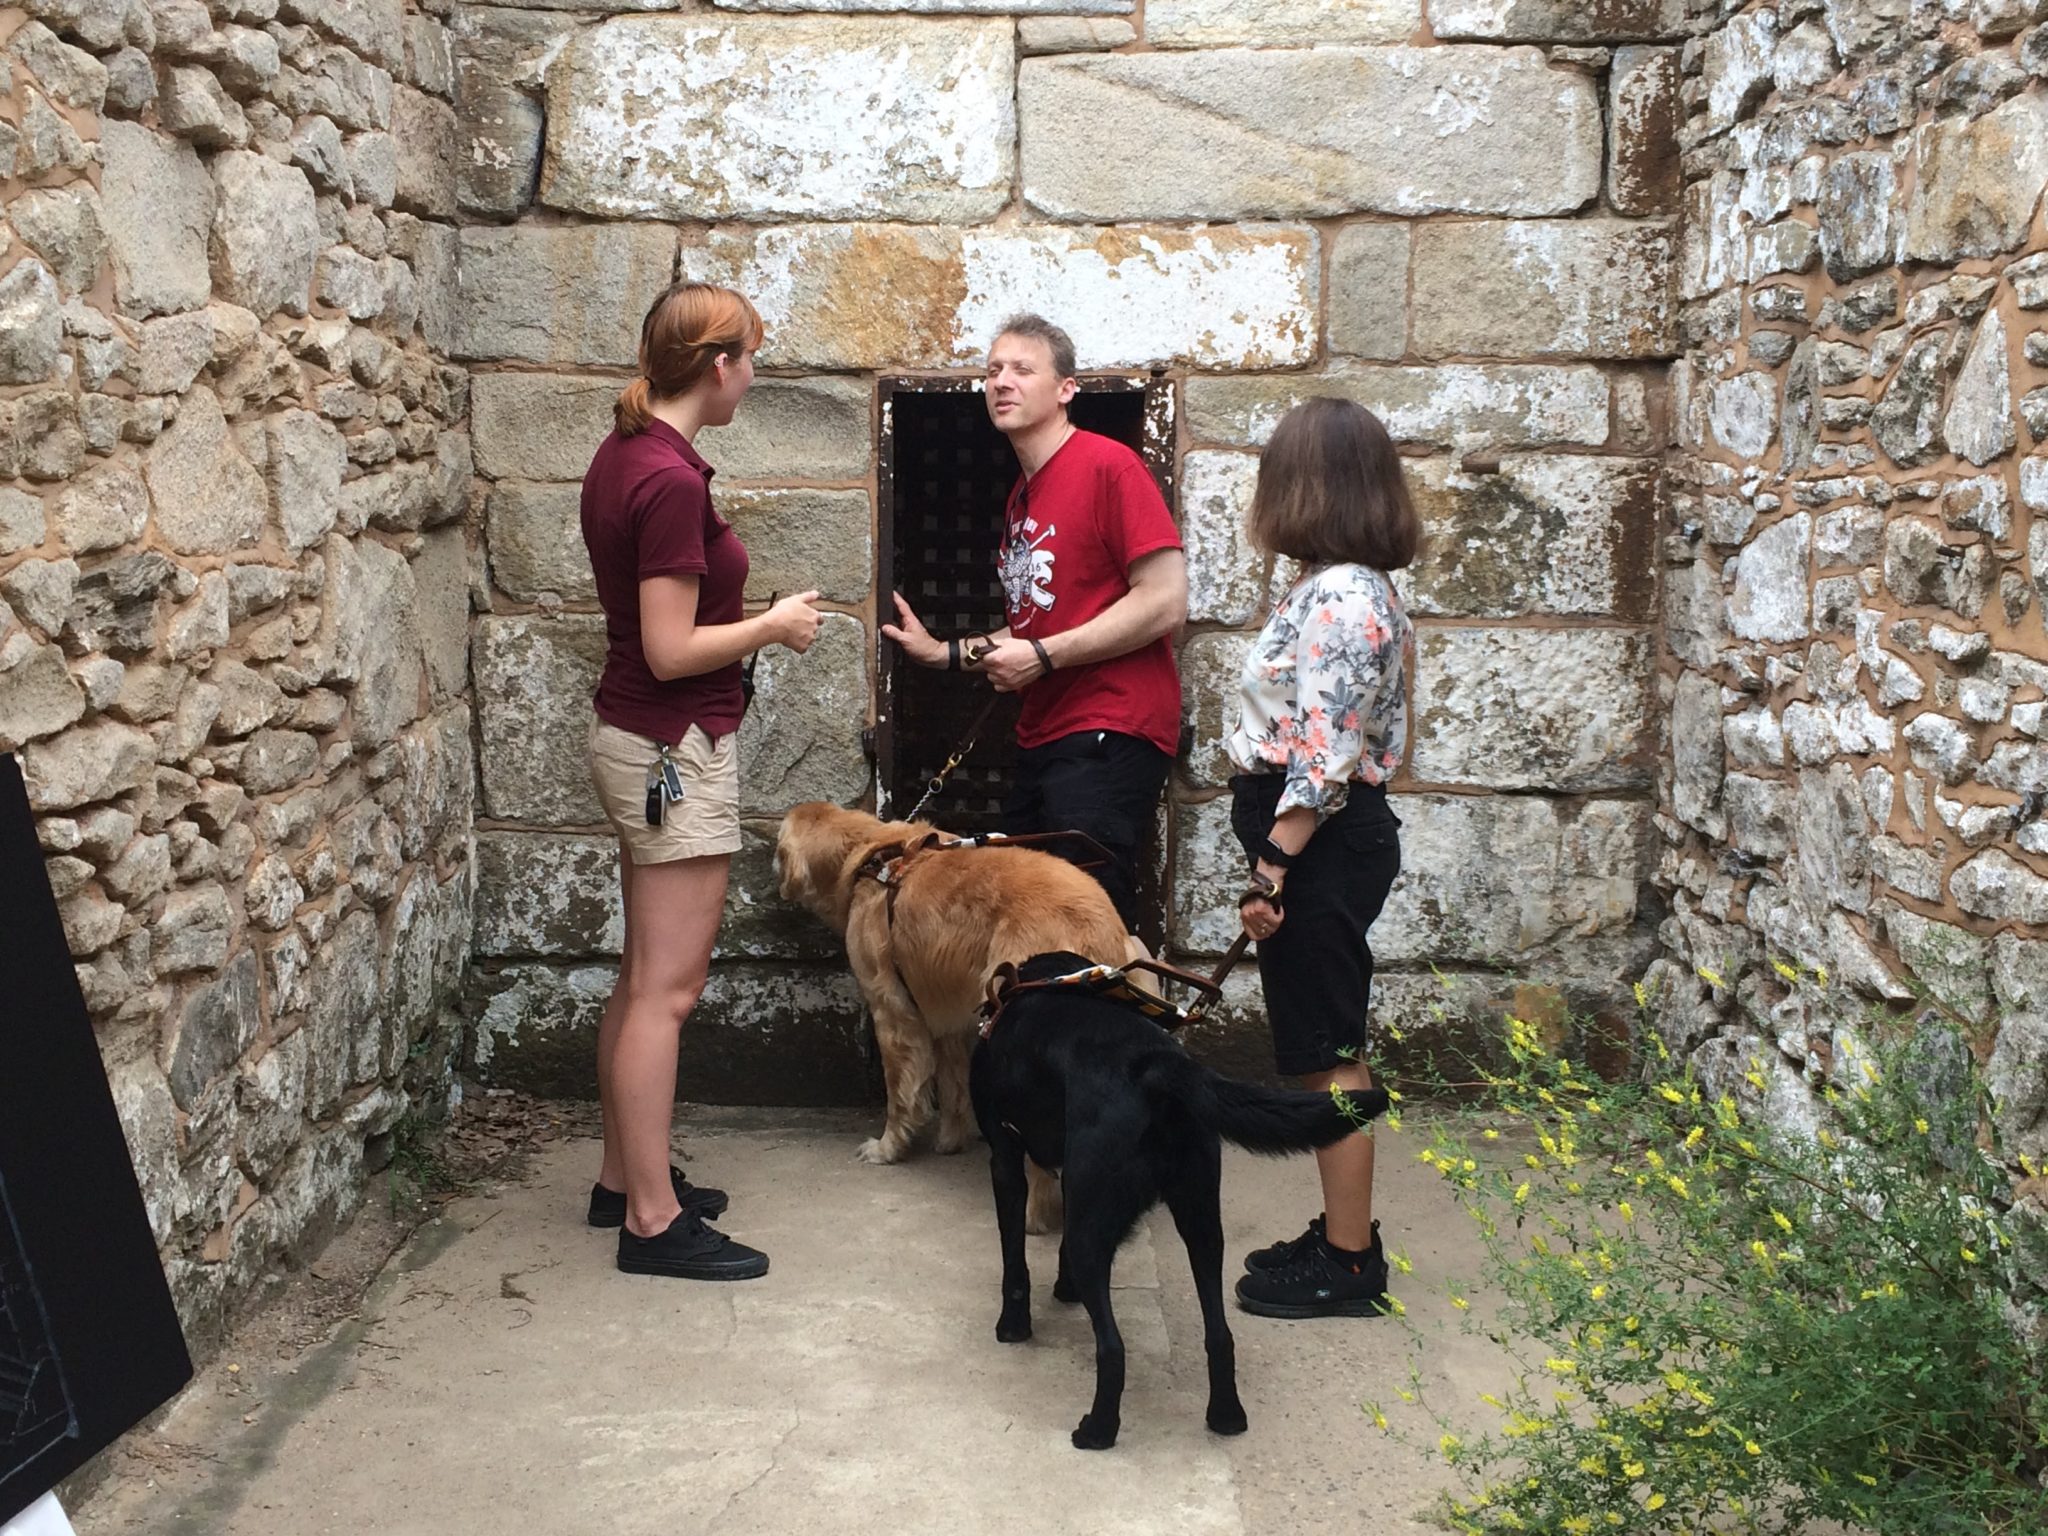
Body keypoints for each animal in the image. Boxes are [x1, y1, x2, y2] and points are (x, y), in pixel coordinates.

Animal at [970, 950, 1392, 1458]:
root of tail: (1158, 1066)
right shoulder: (1074, 1178)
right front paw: (1064, 1290)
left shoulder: (1005, 1159)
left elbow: (1015, 1262)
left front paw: (1013, 1325)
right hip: (1201, 1220)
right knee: (1220, 1335)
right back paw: (1226, 1416)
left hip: (1101, 1230)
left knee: (1113, 1347)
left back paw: (1097, 1431)